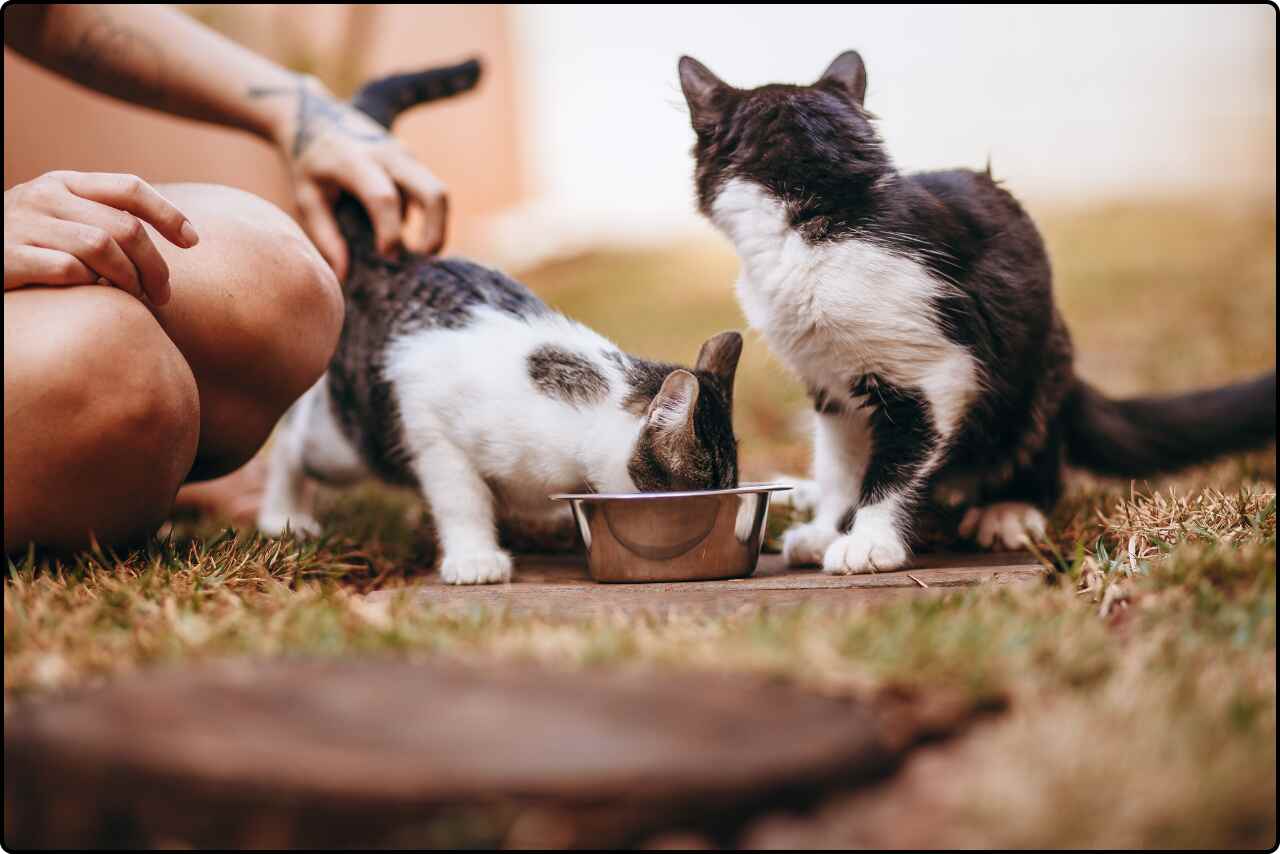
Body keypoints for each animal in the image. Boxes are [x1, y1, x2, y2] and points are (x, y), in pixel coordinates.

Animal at [258, 58, 742, 581]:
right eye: (708, 488)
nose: (728, 515)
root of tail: (393, 255)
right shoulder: (433, 430)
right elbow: (461, 499)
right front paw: (474, 557)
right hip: (350, 440)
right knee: (294, 436)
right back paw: (283, 514)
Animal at [675, 51, 1274, 573]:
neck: (824, 214)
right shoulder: (830, 382)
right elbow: (841, 459)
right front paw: (827, 525)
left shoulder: (938, 371)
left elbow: (897, 463)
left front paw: (869, 539)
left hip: (1038, 367)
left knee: (1034, 450)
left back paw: (1008, 510)